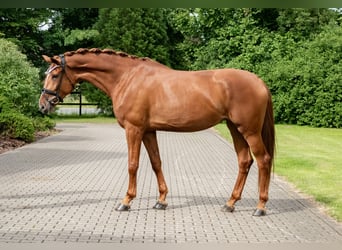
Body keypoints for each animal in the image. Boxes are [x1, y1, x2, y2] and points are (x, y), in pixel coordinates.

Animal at [39, 47, 276, 216]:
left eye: (55, 75)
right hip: (235, 129)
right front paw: (161, 201)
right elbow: (156, 163)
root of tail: (259, 82)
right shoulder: (148, 131)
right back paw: (230, 203)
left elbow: (133, 165)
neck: (127, 78)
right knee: (245, 161)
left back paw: (260, 206)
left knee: (263, 160)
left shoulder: (134, 130)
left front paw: (126, 201)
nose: (42, 105)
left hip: (249, 131)